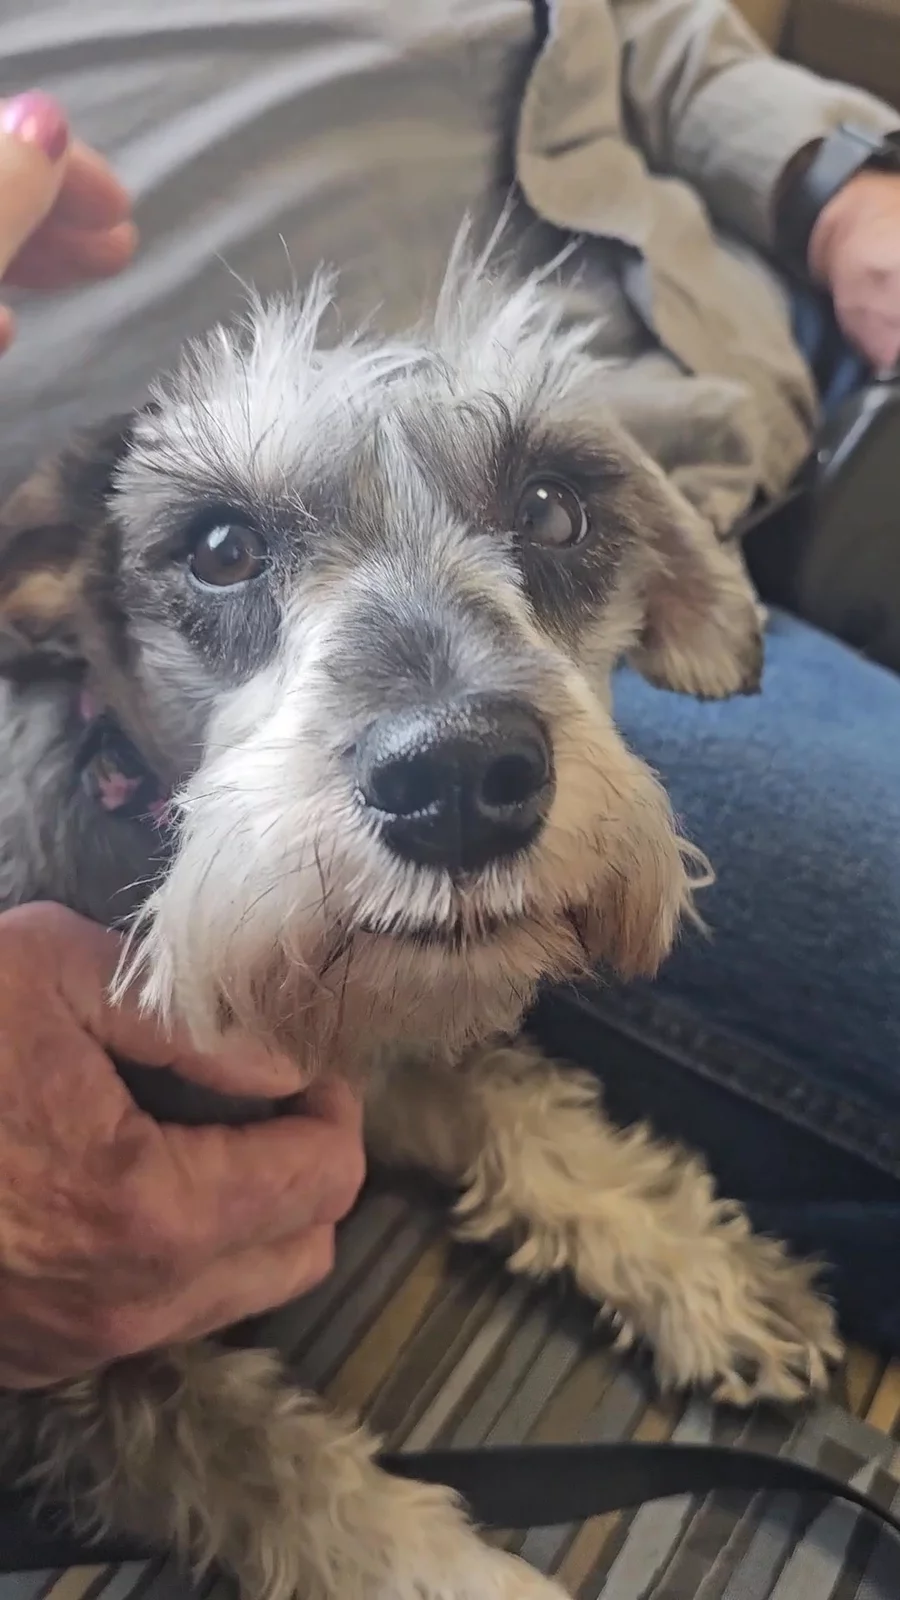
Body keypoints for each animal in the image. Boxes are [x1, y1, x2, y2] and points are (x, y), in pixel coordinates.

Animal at [0, 244, 841, 1600]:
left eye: (554, 509)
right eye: (220, 545)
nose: (455, 777)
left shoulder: (366, 1037)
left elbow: (527, 1112)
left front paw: (707, 1268)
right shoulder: (83, 1346)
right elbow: (277, 1466)